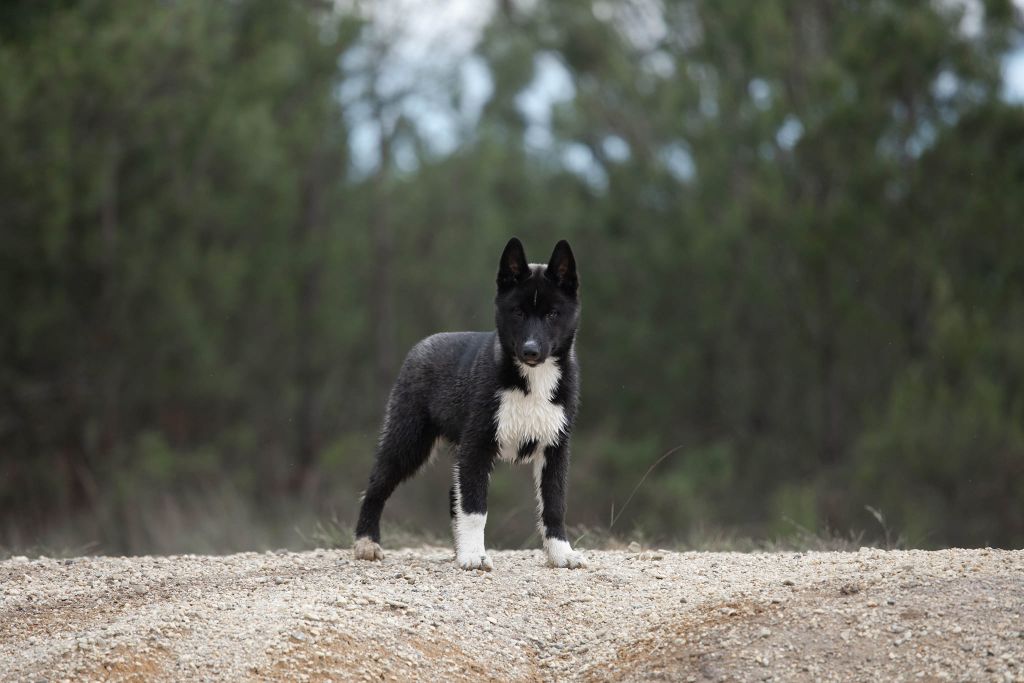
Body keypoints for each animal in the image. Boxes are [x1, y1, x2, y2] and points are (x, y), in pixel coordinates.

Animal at [354, 237, 585, 569]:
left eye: (553, 314)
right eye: (517, 312)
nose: (530, 350)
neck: (532, 381)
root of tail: (420, 346)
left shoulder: (555, 448)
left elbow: (554, 504)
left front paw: (561, 554)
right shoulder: (477, 445)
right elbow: (476, 508)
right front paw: (474, 556)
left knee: (453, 494)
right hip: (408, 440)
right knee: (377, 486)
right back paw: (366, 543)